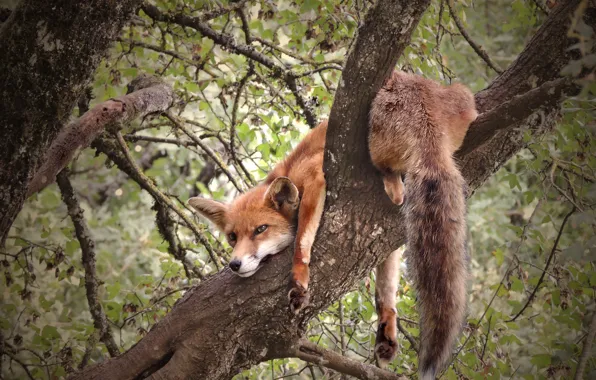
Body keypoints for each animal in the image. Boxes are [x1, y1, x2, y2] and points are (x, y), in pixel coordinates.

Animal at [189, 70, 478, 378]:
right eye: (232, 237)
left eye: (260, 230)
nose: (234, 264)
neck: (290, 169)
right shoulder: (387, 237)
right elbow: (385, 290)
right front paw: (387, 332)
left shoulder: (316, 179)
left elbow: (301, 241)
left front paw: (299, 281)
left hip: (376, 143)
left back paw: (393, 184)